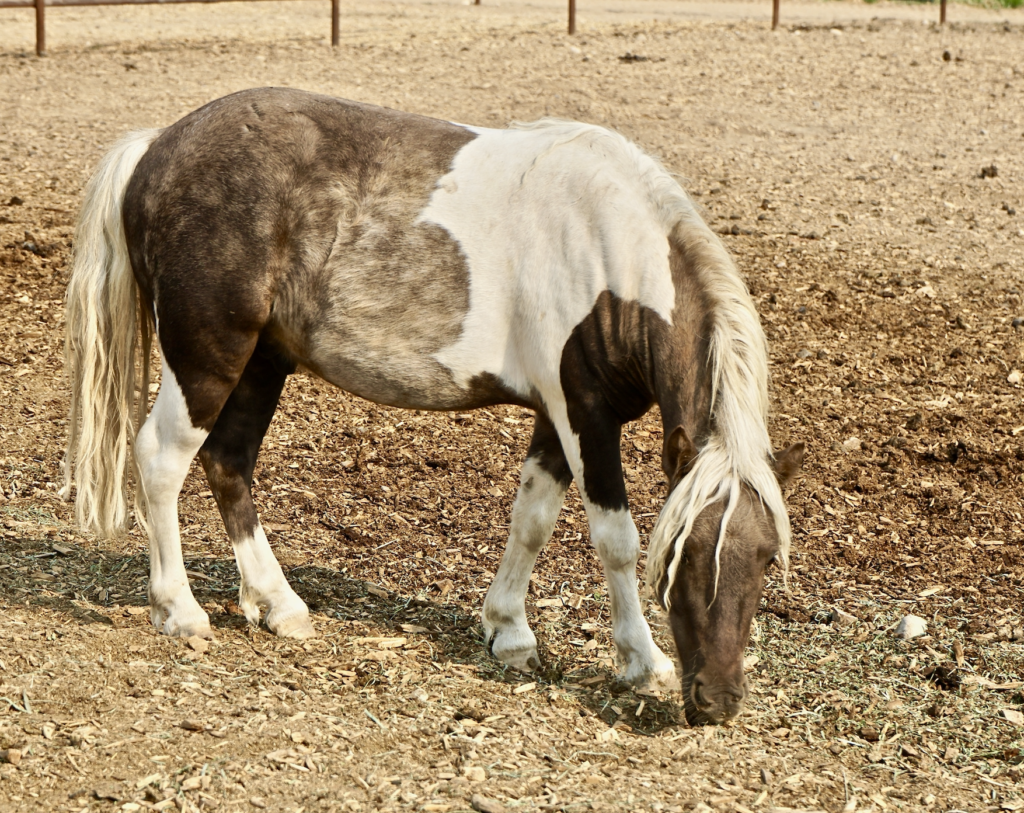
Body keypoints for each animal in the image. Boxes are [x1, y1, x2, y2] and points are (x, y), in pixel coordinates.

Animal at [64, 87, 802, 720]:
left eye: (768, 557)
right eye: (682, 554)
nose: (718, 700)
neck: (610, 249)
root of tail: (157, 148)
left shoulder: (557, 417)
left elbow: (532, 519)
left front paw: (509, 632)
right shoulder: (584, 415)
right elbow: (615, 539)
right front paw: (642, 662)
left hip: (261, 364)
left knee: (229, 464)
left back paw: (279, 605)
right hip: (207, 359)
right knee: (162, 461)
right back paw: (180, 611)